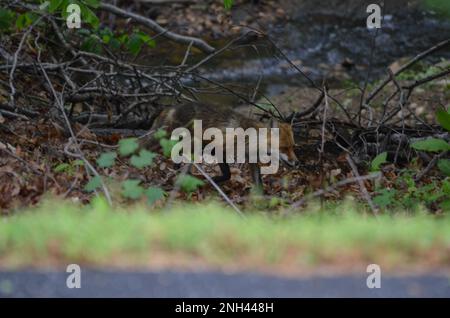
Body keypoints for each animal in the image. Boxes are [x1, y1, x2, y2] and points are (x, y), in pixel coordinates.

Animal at [151, 103, 298, 190]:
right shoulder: (219, 149)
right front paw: (213, 180)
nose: (297, 162)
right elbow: (227, 174)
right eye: (284, 148)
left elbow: (258, 183)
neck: (250, 138)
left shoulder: (251, 159)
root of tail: (173, 107)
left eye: (293, 147)